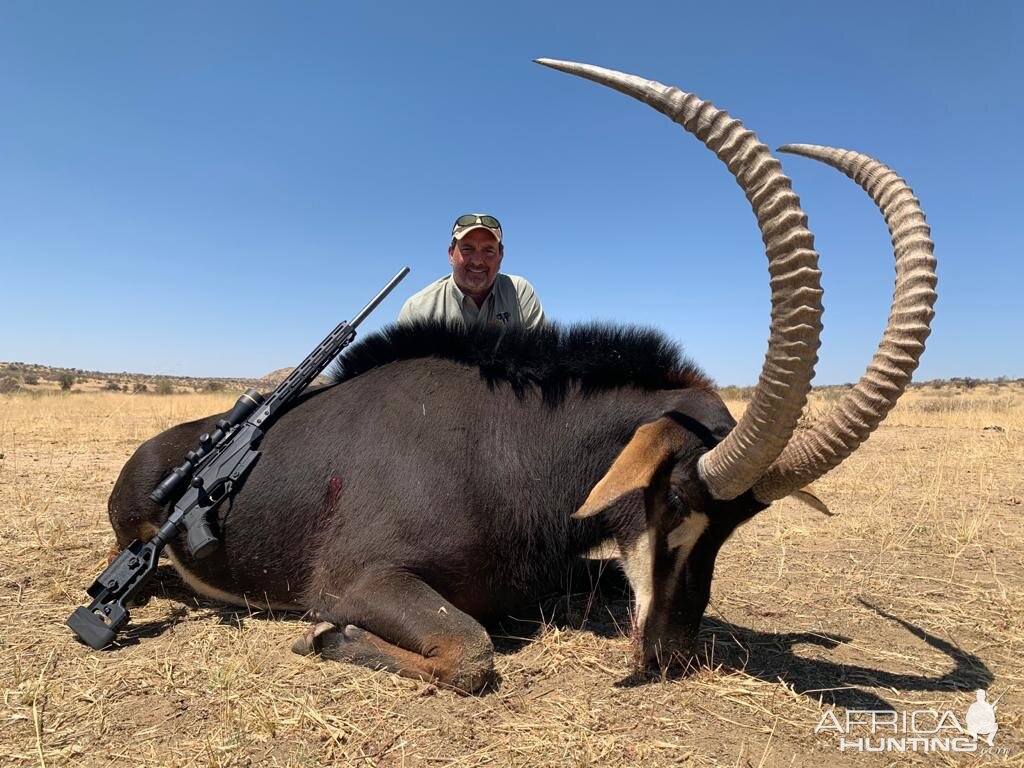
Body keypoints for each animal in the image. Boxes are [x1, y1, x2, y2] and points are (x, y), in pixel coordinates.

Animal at [103, 61, 937, 696]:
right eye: (672, 501)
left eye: (731, 530)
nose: (673, 653)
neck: (508, 449)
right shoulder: (358, 581)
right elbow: (471, 652)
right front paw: (324, 640)